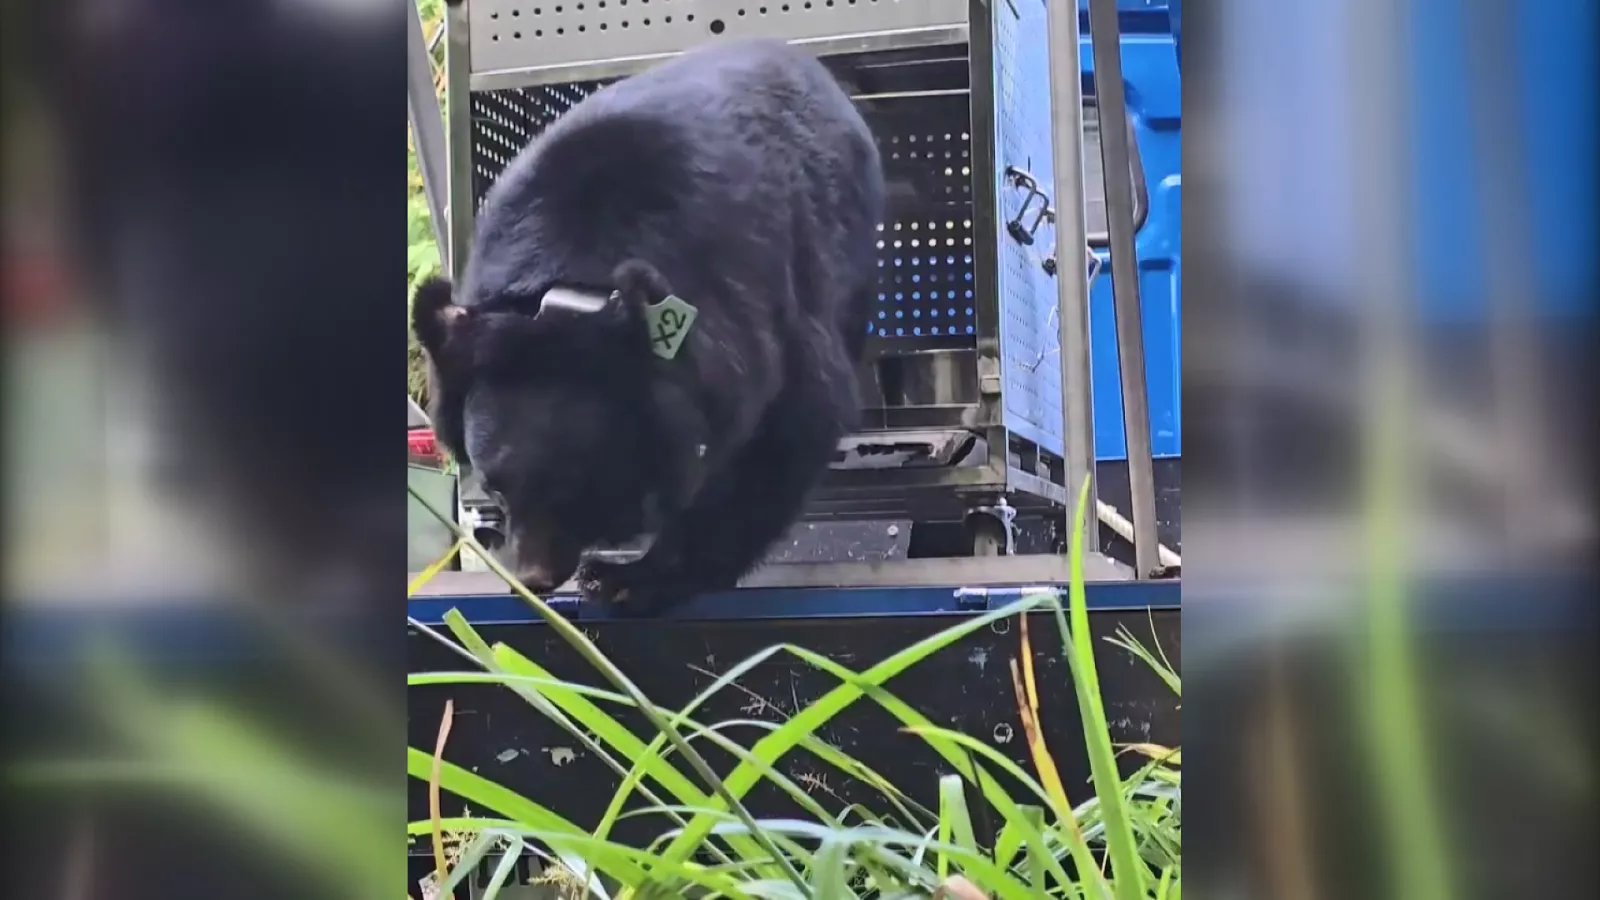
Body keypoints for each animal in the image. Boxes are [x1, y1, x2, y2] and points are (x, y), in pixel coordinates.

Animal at [413, 37, 886, 616]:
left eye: (578, 485)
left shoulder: (746, 301)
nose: (534, 578)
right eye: (495, 484)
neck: (564, 286)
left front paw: (633, 578)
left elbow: (790, 427)